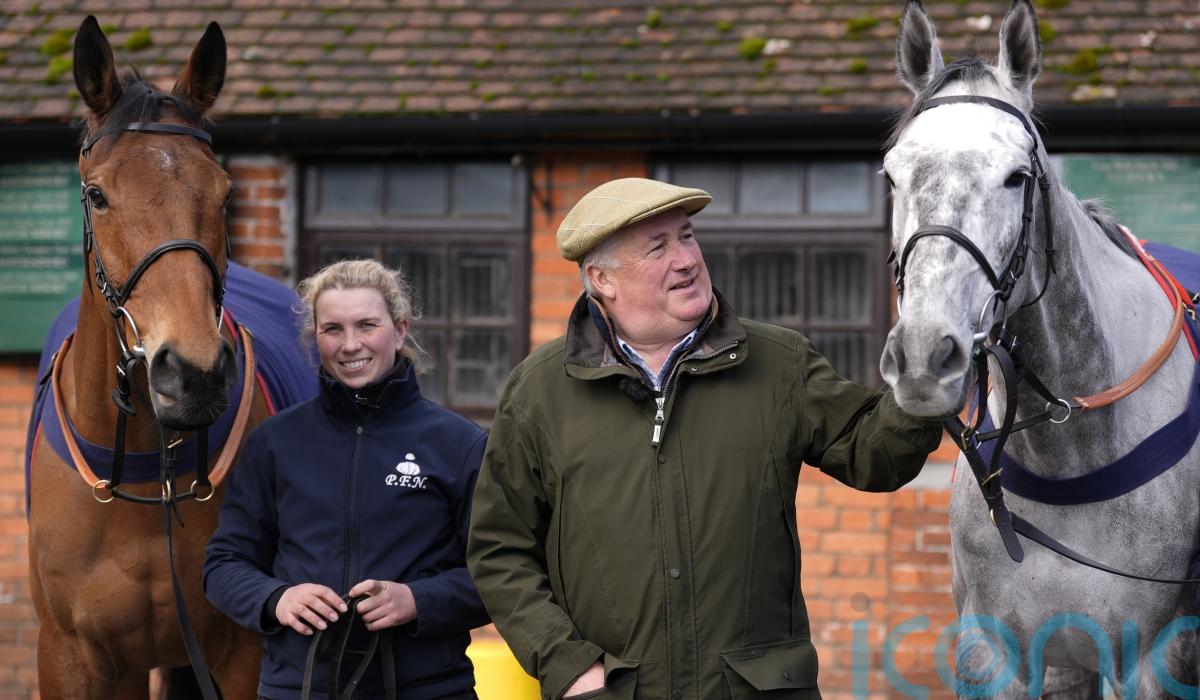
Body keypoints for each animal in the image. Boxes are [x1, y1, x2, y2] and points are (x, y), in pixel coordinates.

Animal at [25, 16, 314, 698]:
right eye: (97, 195)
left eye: (225, 192)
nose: (193, 376)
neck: (143, 476)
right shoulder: (72, 655)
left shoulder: (242, 653)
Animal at [879, 1, 1200, 697]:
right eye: (891, 176)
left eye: (1016, 177)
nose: (923, 355)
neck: (1071, 453)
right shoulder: (996, 654)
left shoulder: (1154, 659)